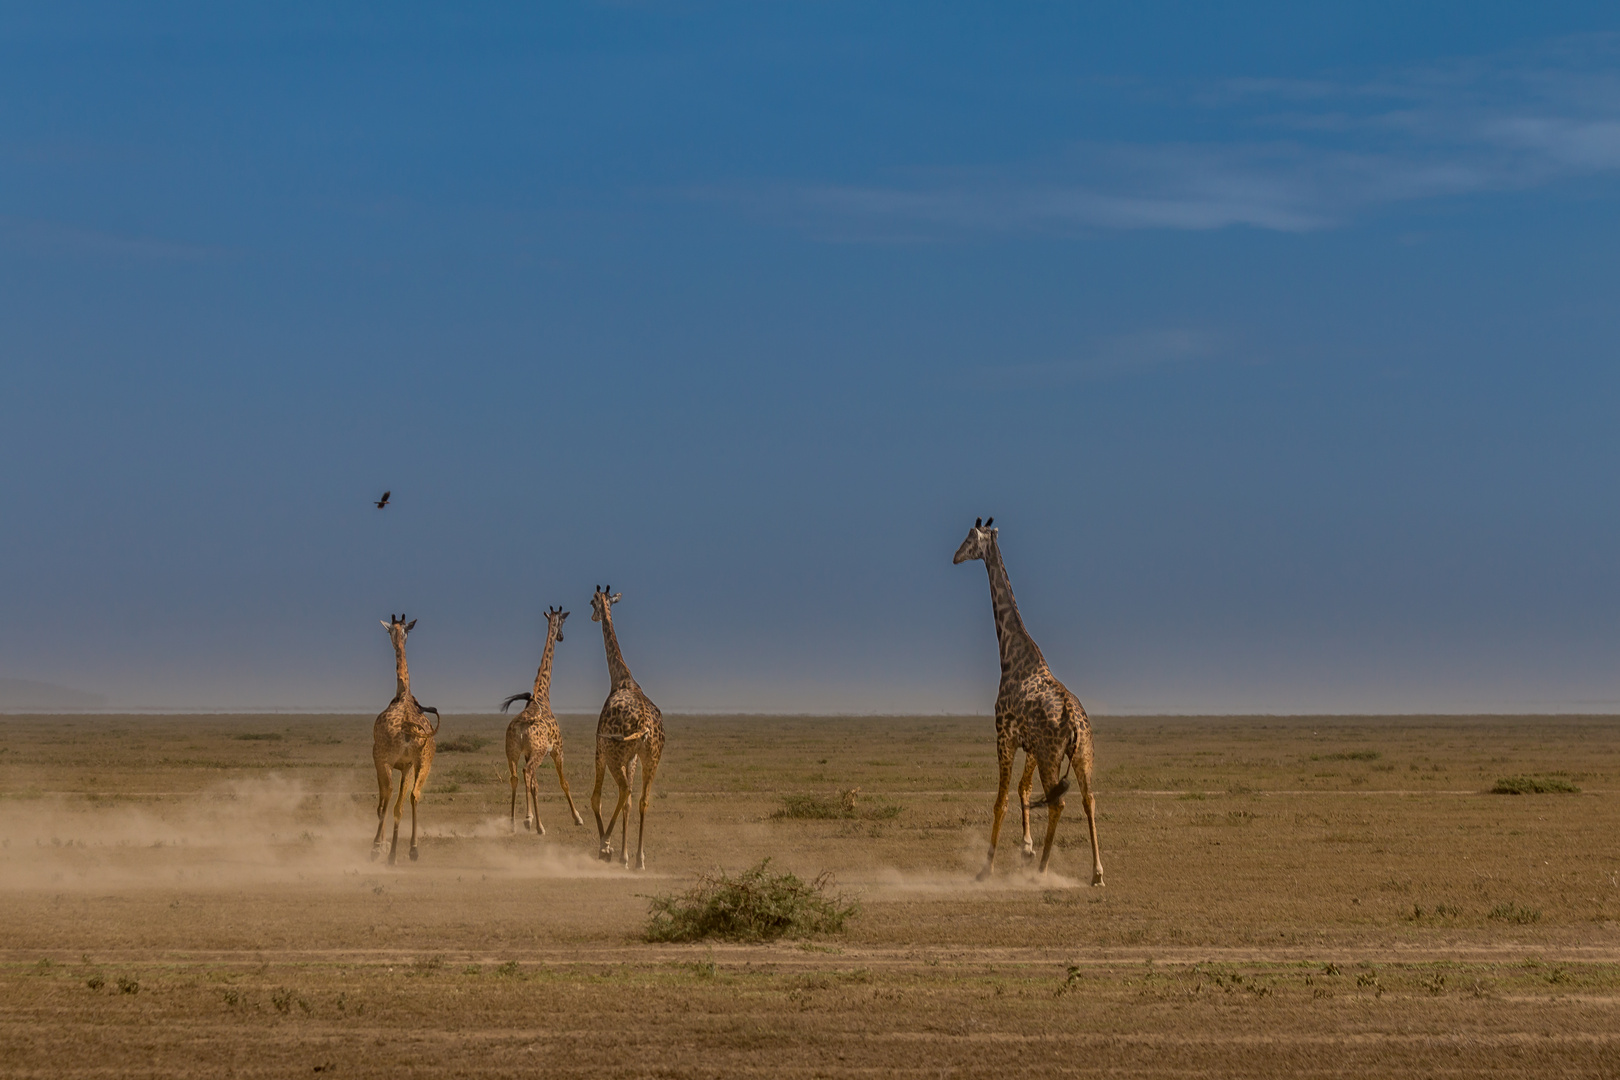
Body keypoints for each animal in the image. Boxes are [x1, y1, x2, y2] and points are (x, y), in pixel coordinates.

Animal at [370, 612, 440, 867]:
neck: (404, 693)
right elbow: (401, 803)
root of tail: (409, 726)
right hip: (423, 762)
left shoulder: (381, 759)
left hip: (386, 759)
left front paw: (380, 846)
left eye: (389, 630)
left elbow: (383, 801)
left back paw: (379, 849)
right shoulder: (407, 765)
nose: (394, 640)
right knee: (412, 797)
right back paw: (411, 850)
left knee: (389, 798)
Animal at [502, 608, 592, 835]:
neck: (542, 696)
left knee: (515, 777)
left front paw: (530, 819)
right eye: (563, 622)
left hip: (512, 752)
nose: (561, 637)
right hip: (540, 752)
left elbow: (535, 784)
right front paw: (578, 818)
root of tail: (521, 728)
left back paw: (514, 823)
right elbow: (564, 782)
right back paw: (534, 823)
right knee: (527, 774)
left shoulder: (526, 752)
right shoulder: (557, 749)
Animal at [589, 582, 664, 867]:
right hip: (652, 757)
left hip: (613, 754)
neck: (621, 678)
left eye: (592, 602)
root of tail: (644, 725)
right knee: (641, 799)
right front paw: (625, 855)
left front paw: (609, 848)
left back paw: (605, 846)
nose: (593, 616)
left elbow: (596, 799)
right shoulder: (632, 757)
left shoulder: (600, 750)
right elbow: (630, 804)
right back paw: (640, 860)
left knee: (622, 791)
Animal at [952, 521, 1108, 887]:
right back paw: (1096, 872)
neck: (1012, 655)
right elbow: (1023, 789)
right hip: (1083, 754)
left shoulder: (1005, 737)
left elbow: (1001, 800)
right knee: (1088, 799)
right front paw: (1025, 848)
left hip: (1054, 756)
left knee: (1058, 804)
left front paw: (987, 868)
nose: (954, 557)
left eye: (969, 539)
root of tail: (1074, 724)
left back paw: (1043, 872)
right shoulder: (1031, 745)